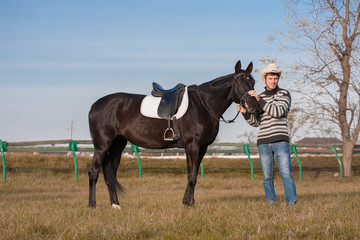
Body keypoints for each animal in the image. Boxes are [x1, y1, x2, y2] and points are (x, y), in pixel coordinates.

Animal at [90, 60, 258, 208]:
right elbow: (192, 176)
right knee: (93, 172)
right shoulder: (192, 146)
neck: (203, 105)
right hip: (102, 146)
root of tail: (95, 106)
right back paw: (92, 205)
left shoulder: (202, 148)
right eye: (238, 83)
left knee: (110, 175)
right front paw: (188, 204)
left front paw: (189, 202)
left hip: (117, 146)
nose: (252, 105)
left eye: (253, 82)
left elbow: (193, 174)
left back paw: (115, 205)